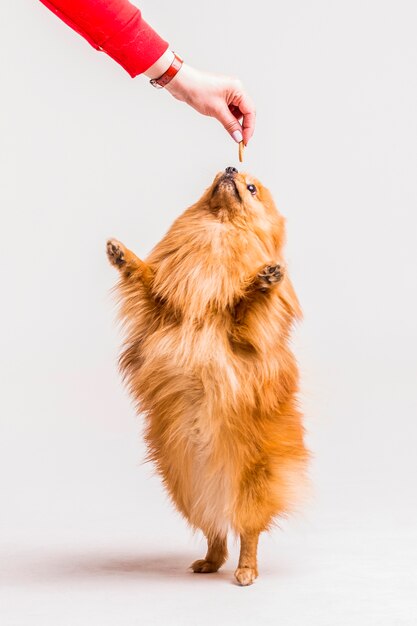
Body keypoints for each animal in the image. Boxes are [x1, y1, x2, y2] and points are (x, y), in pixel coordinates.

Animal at [105, 167, 308, 584]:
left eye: (252, 189)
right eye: (223, 174)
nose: (232, 168)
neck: (216, 233)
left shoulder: (243, 334)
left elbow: (248, 305)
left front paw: (263, 280)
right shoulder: (160, 306)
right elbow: (144, 277)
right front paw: (122, 254)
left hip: (251, 486)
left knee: (247, 533)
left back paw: (246, 571)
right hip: (188, 487)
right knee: (216, 530)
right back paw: (210, 562)